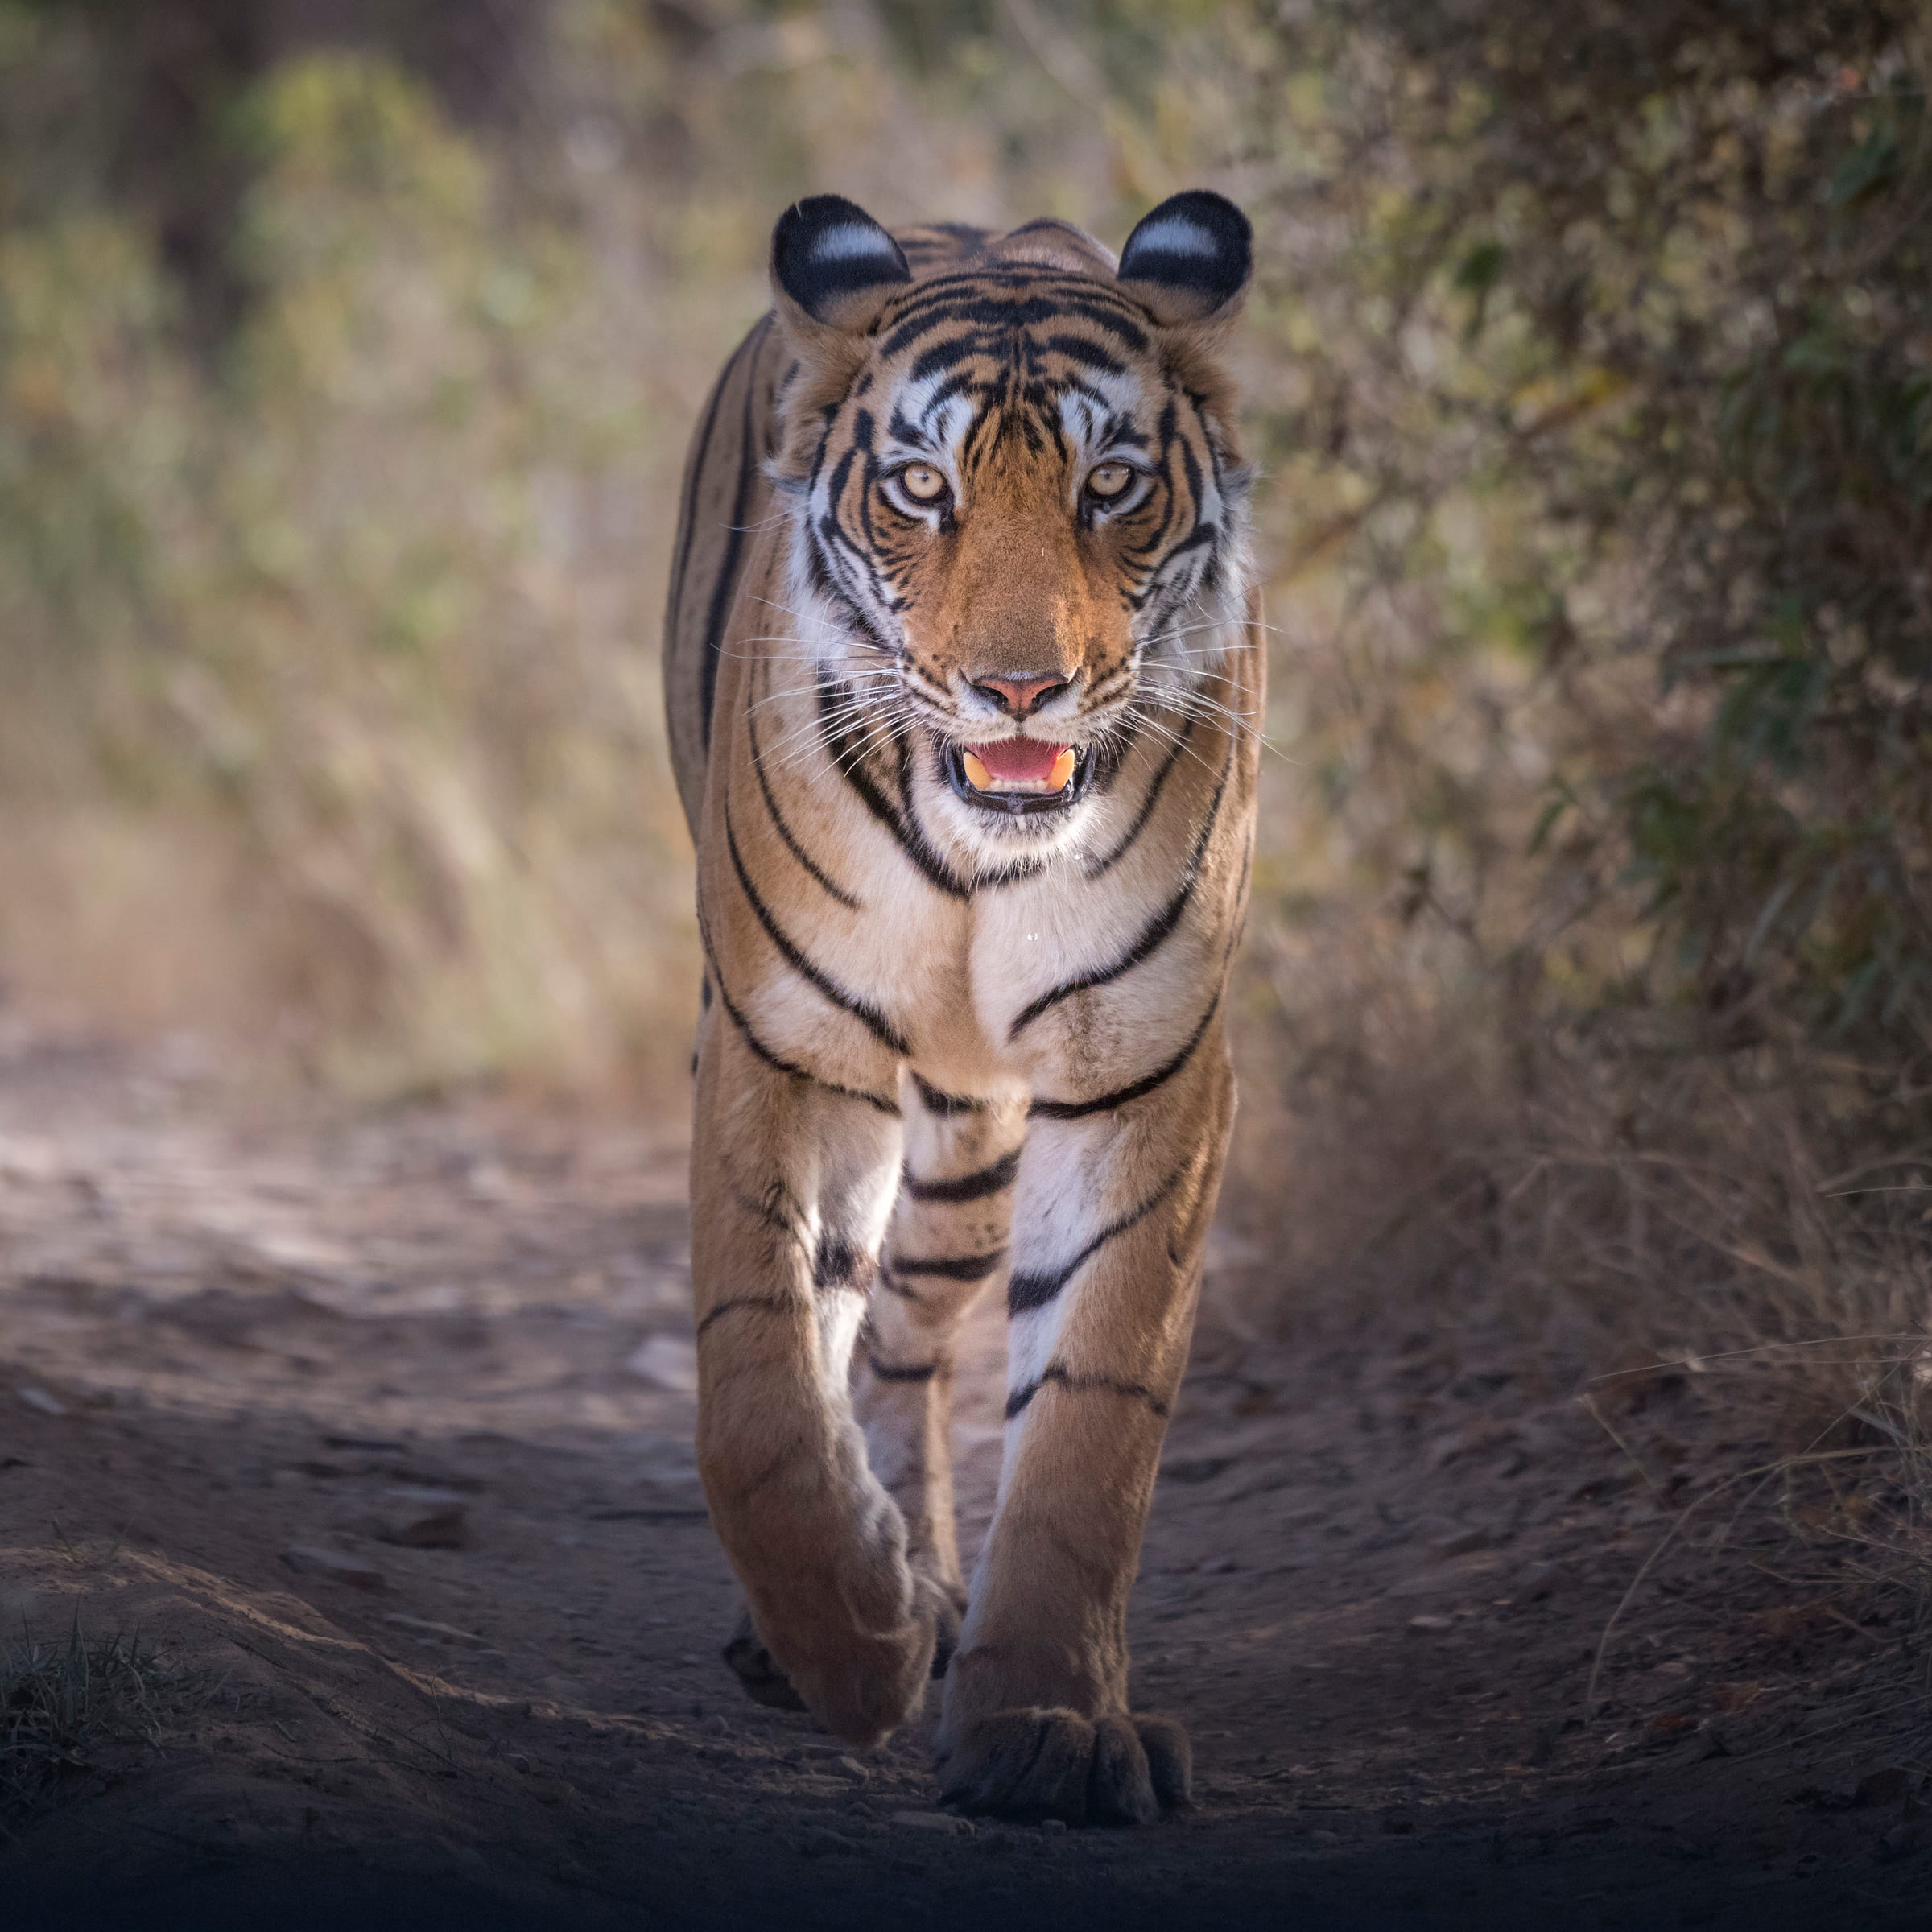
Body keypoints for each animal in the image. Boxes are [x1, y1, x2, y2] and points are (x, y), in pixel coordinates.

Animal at [660, 184, 1267, 1823]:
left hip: (980, 1130)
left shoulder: (1143, 1078)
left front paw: (1046, 1726)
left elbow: (1090, 1428)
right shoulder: (779, 1044)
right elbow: (758, 1397)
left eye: (1112, 486)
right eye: (922, 491)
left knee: (909, 1330)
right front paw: (852, 1646)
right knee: (836, 1321)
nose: (1019, 693)